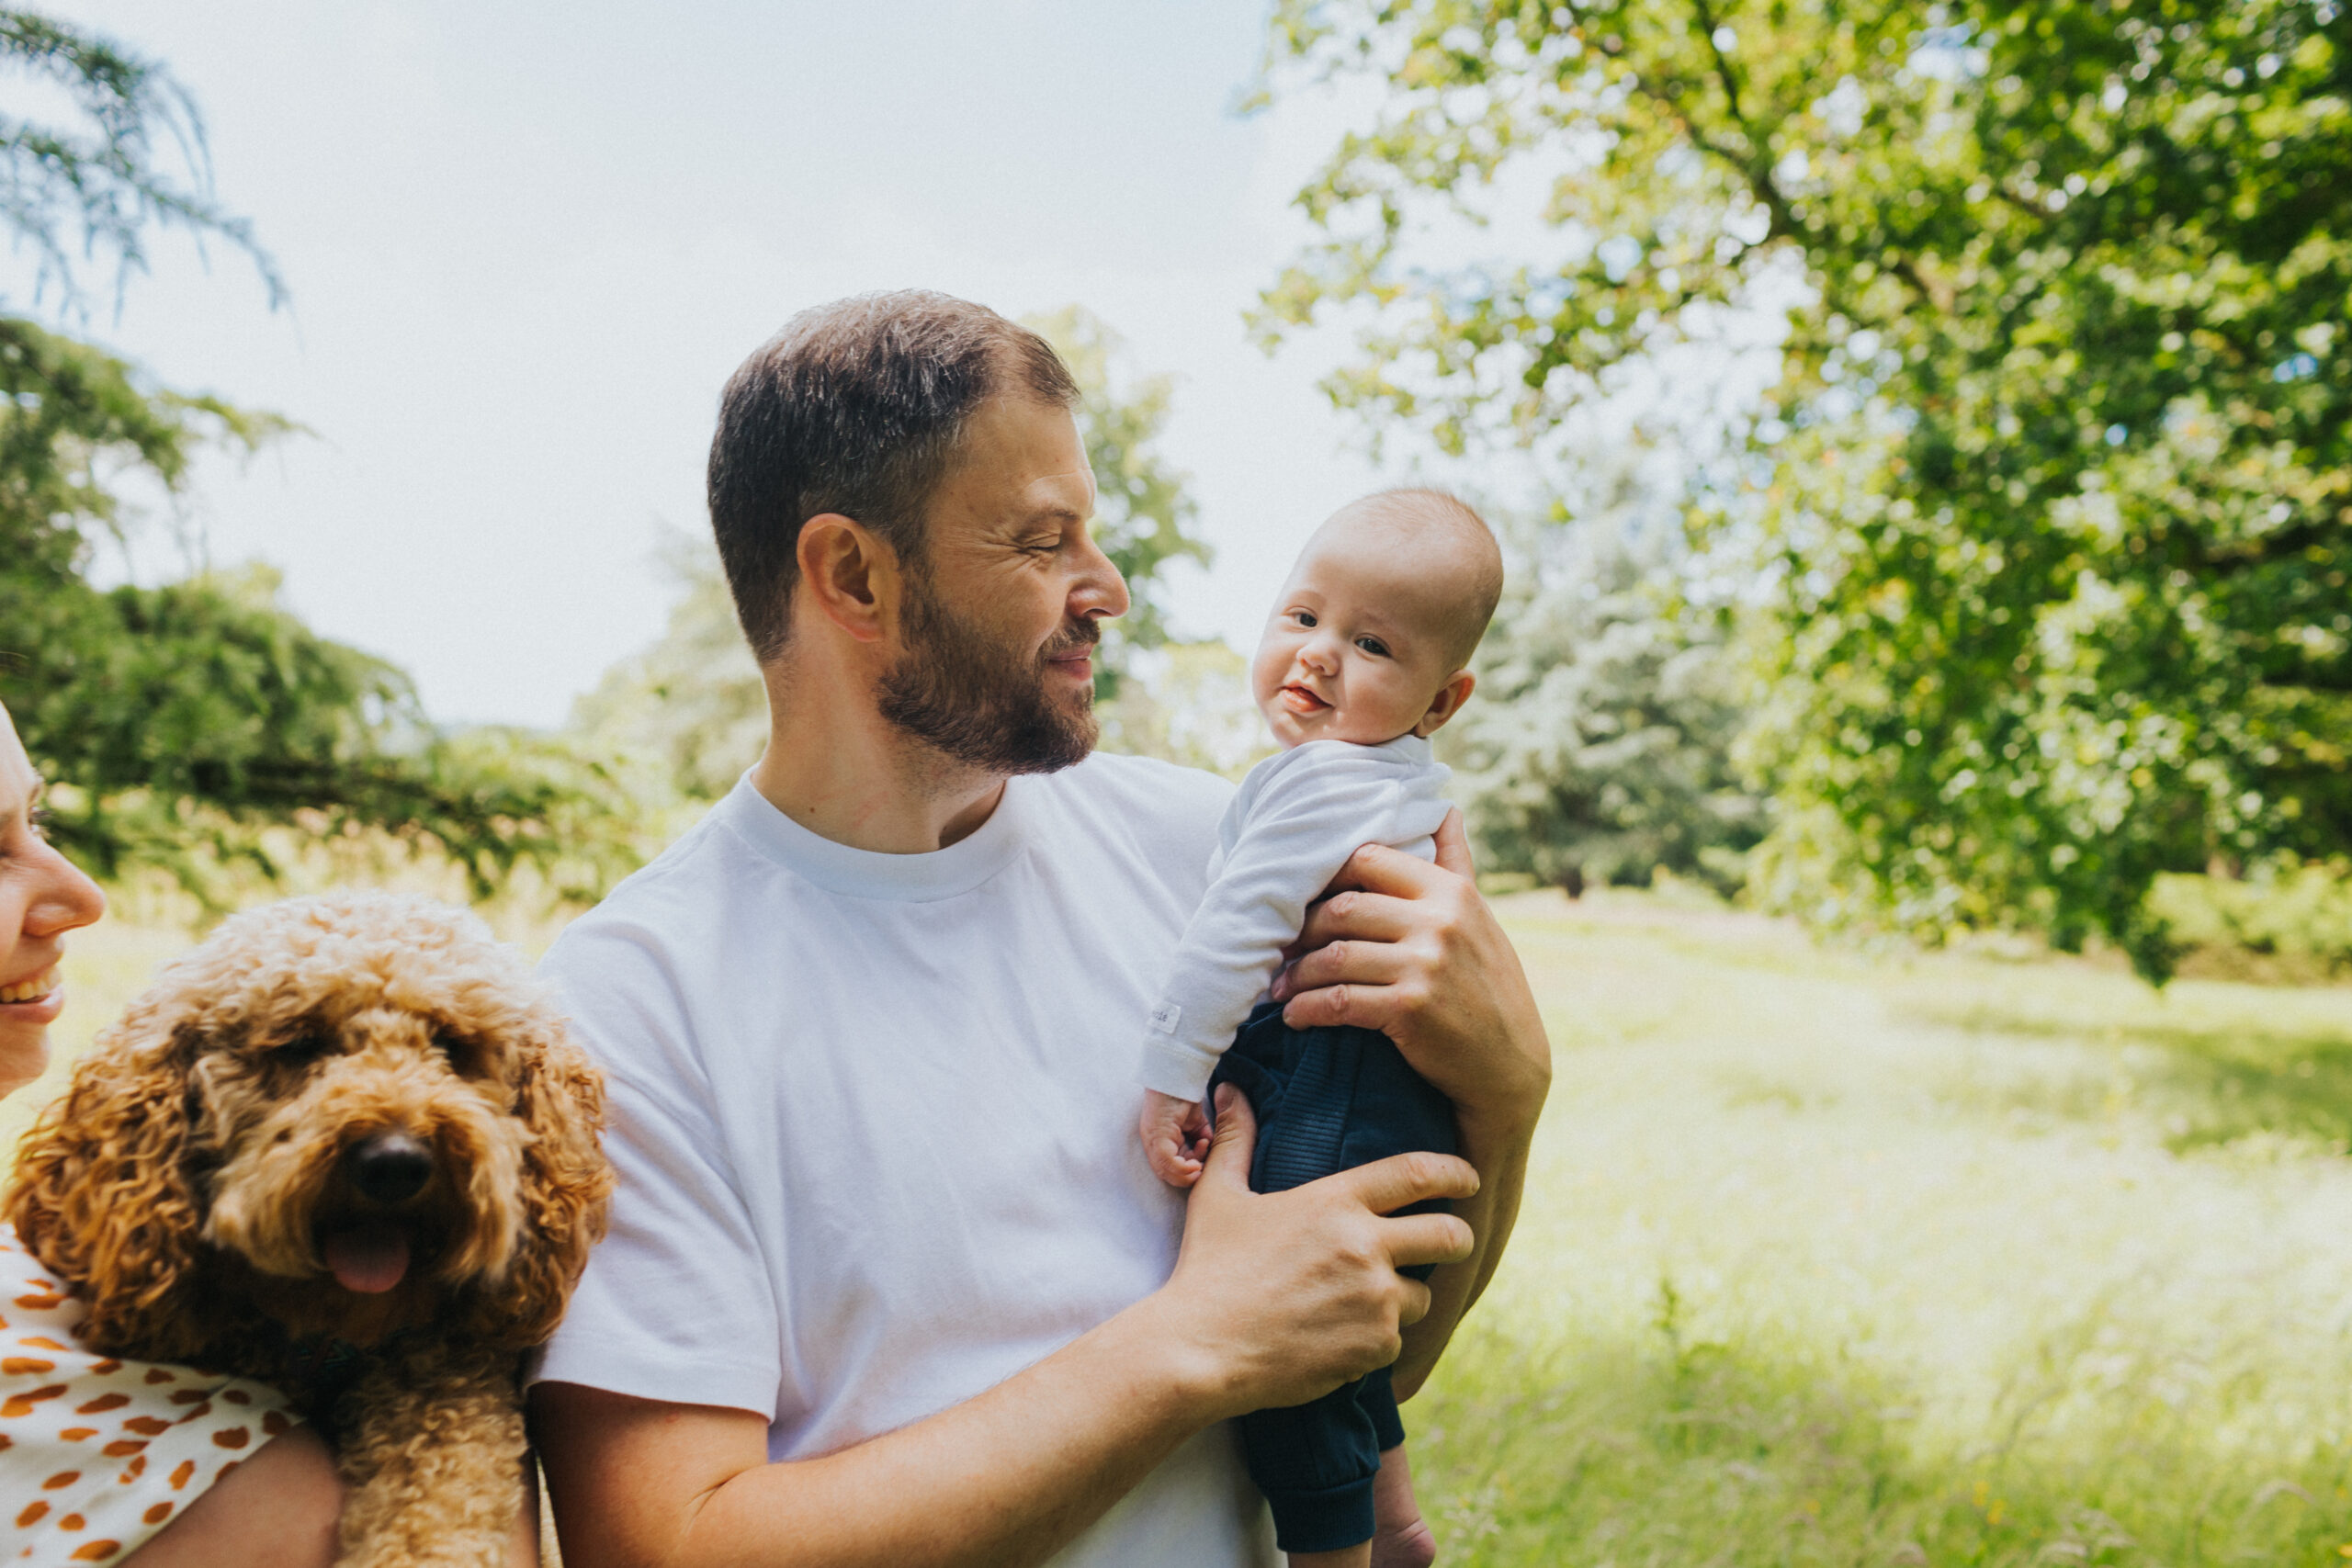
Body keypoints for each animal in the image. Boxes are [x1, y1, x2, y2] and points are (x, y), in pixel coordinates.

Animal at [0, 893, 616, 1568]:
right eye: (298, 1045)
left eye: (454, 1046)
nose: (396, 1162)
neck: (330, 1334)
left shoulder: (448, 1387)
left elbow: (439, 1510)